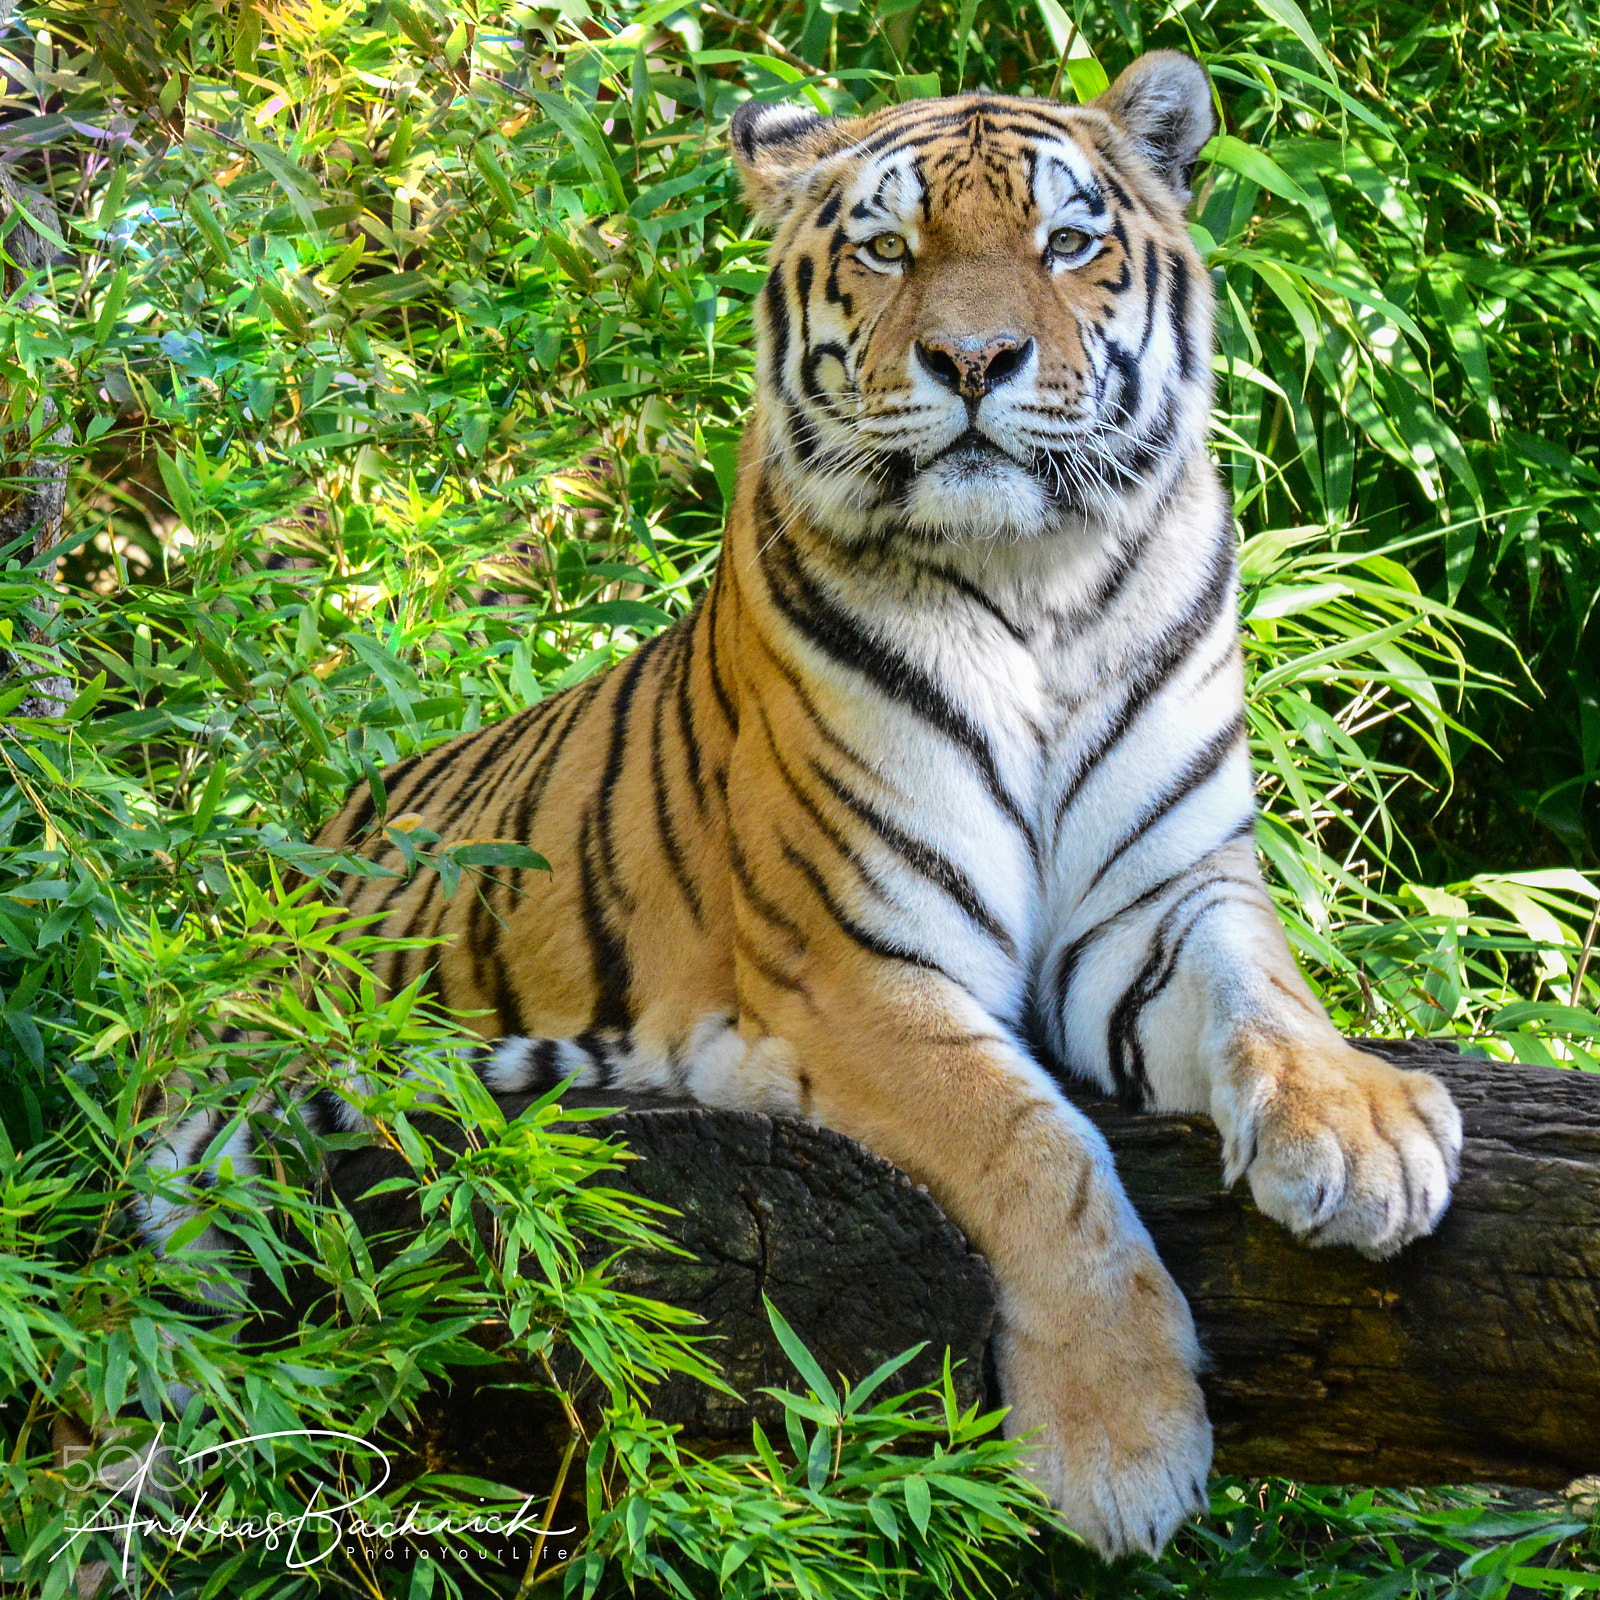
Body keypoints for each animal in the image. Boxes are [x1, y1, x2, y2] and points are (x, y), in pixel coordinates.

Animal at [140, 52, 1464, 1559]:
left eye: (1068, 243)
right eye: (889, 249)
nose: (974, 361)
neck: (1042, 587)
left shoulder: (1161, 898)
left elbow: (1268, 992)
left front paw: (1362, 1133)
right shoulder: (855, 966)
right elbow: (1037, 1152)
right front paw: (1121, 1445)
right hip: (202, 1144)